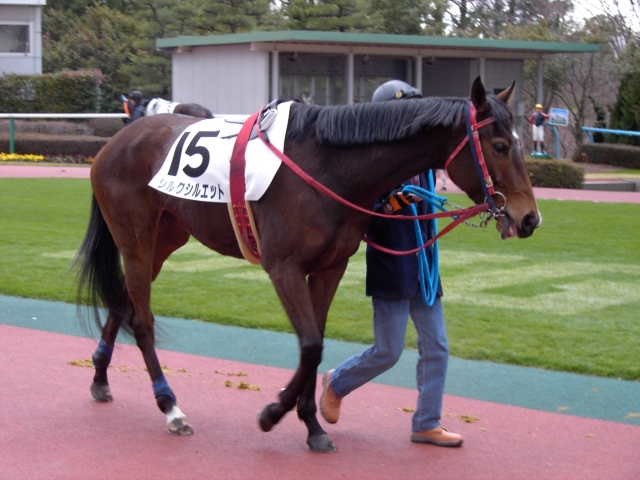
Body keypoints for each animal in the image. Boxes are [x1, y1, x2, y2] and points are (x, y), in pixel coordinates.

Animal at [76, 77, 540, 453]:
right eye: (500, 146)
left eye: (521, 143)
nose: (530, 219)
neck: (328, 167)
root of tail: (115, 142)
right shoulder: (283, 266)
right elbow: (311, 344)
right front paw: (272, 414)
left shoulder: (329, 267)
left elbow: (316, 343)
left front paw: (312, 425)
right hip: (136, 240)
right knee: (142, 319)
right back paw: (169, 405)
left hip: (165, 238)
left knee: (122, 300)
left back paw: (99, 377)